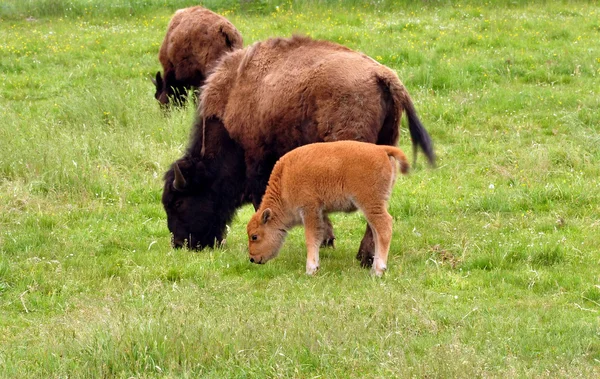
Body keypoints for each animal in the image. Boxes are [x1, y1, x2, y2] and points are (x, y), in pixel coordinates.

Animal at [246, 141, 410, 278]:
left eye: (254, 236)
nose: (252, 259)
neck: (284, 180)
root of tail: (381, 149)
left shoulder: (309, 210)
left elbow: (311, 238)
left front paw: (310, 269)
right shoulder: (320, 213)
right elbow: (320, 236)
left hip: (370, 204)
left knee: (384, 226)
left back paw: (378, 271)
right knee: (376, 232)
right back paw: (373, 269)